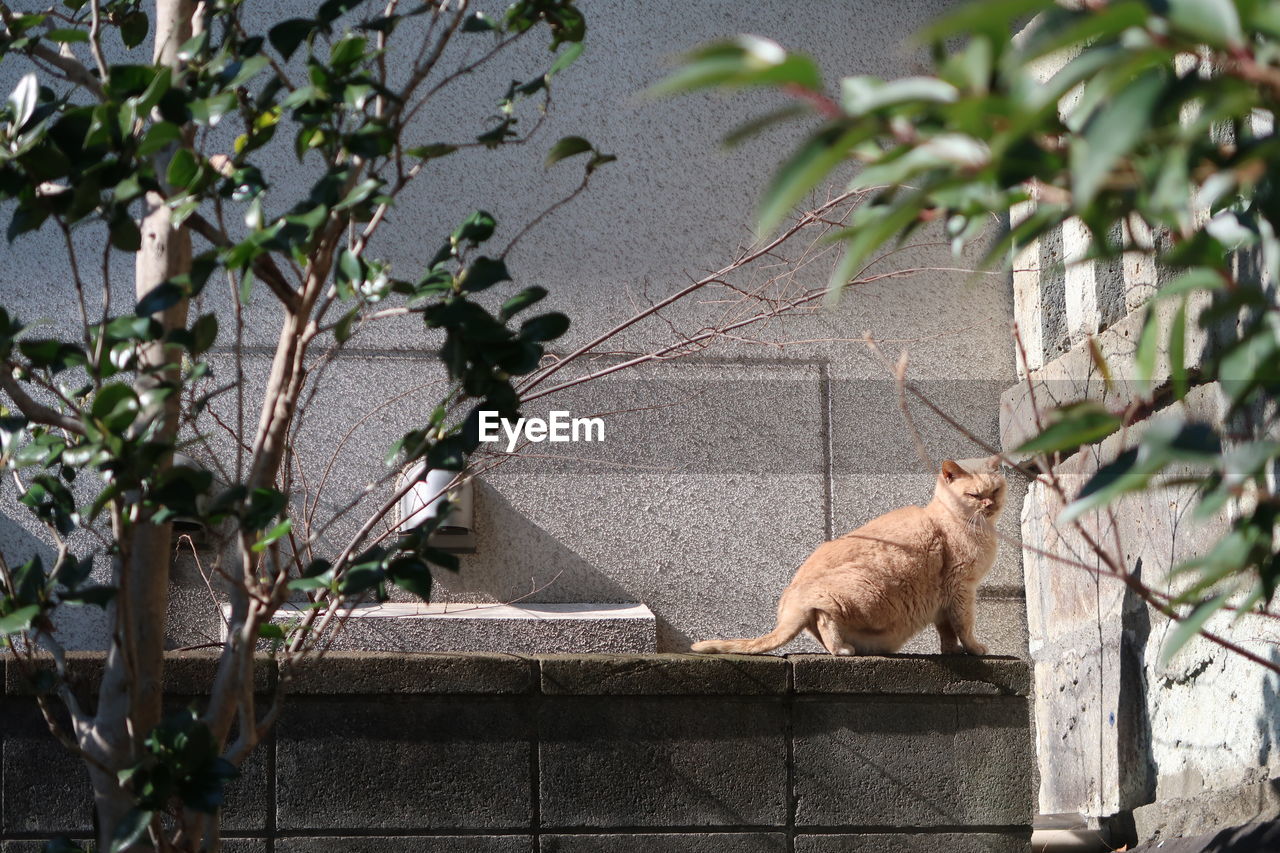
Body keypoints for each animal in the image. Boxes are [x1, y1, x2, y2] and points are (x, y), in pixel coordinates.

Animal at [696, 455, 1003, 653]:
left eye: (996, 490)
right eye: (975, 495)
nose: (989, 504)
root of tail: (789, 605)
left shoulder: (944, 599)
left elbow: (947, 632)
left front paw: (951, 652)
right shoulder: (961, 588)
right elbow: (964, 625)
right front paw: (975, 649)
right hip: (863, 590)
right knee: (823, 616)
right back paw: (842, 649)